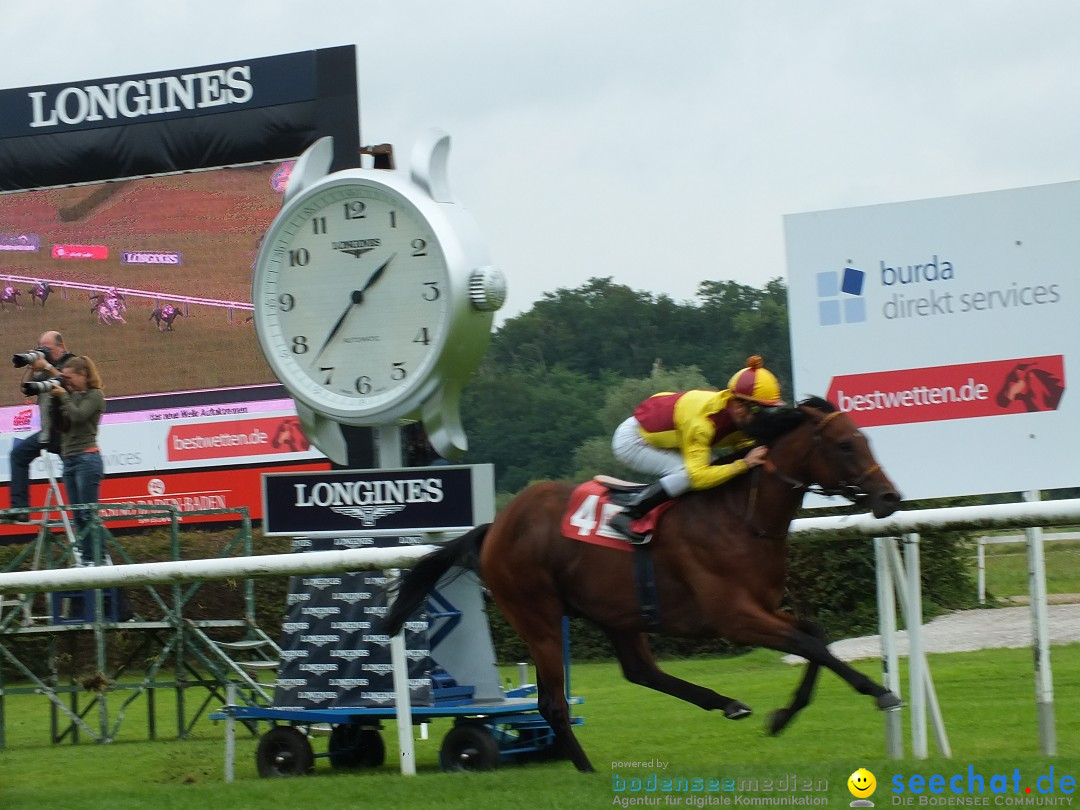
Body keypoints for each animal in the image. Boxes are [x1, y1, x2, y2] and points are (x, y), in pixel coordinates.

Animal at [384, 399, 898, 773]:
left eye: (865, 438)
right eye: (845, 444)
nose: (889, 497)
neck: (742, 517)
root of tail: (496, 526)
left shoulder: (765, 608)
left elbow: (815, 638)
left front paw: (784, 715)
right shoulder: (735, 618)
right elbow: (809, 644)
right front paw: (879, 691)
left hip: (617, 612)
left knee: (640, 671)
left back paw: (727, 703)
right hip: (538, 616)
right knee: (553, 702)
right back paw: (587, 770)